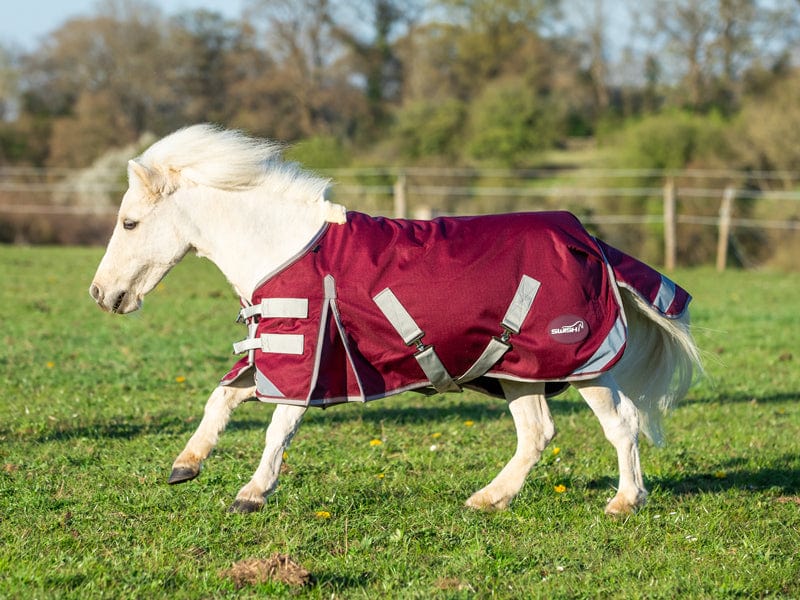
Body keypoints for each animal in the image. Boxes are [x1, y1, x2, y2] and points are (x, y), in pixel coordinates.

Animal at [90, 124, 702, 516]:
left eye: (129, 222)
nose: (101, 294)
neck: (284, 247)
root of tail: (586, 238)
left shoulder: (306, 355)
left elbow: (278, 427)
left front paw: (252, 492)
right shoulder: (278, 352)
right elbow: (221, 399)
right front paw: (185, 464)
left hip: (581, 363)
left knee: (621, 425)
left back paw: (624, 502)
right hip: (518, 369)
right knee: (537, 434)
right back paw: (488, 499)